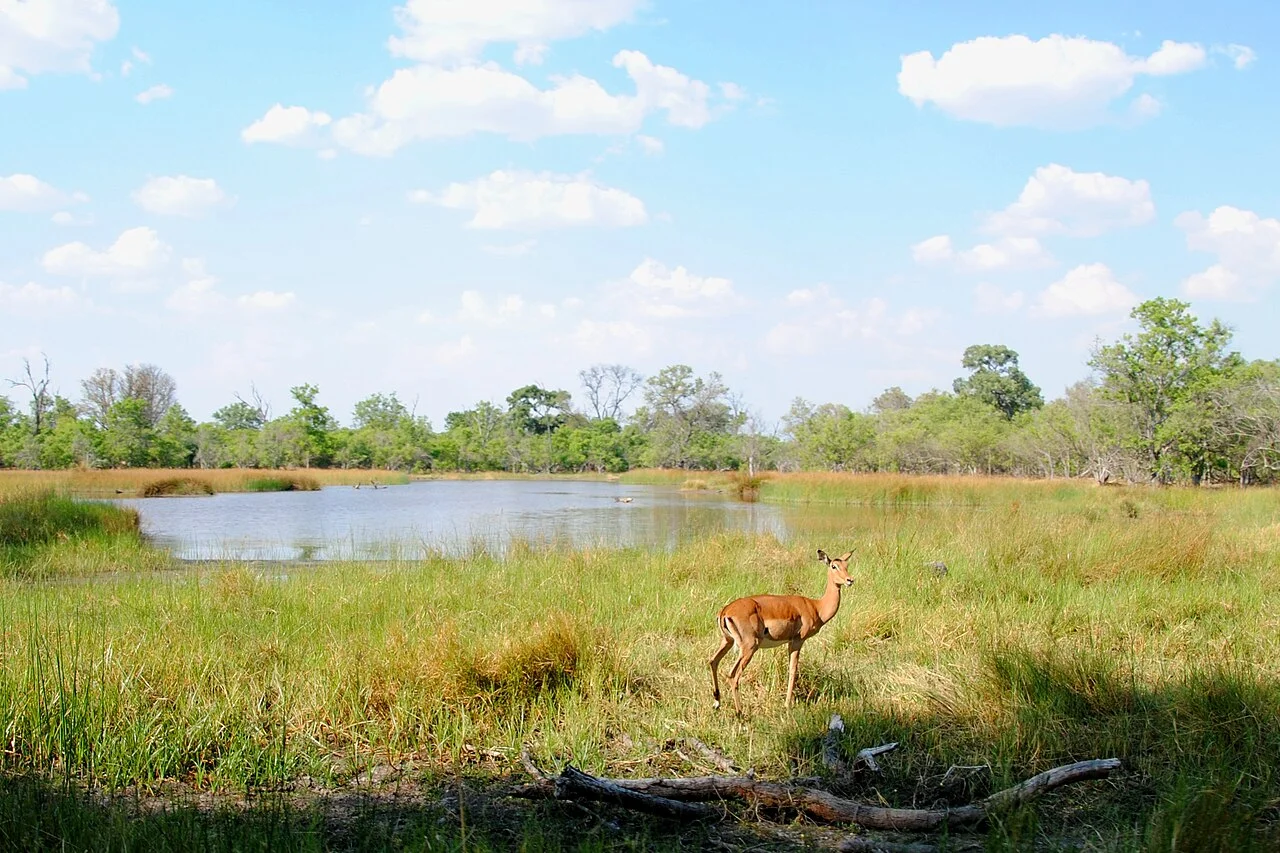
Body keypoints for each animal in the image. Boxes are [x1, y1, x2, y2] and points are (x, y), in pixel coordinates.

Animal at [709, 549, 855, 712]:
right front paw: (787, 705)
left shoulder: (790, 642)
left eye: (846, 565)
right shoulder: (798, 640)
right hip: (749, 646)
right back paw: (740, 713)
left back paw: (717, 703)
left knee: (713, 661)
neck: (816, 607)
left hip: (727, 641)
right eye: (834, 566)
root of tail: (725, 611)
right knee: (733, 675)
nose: (850, 580)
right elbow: (793, 669)